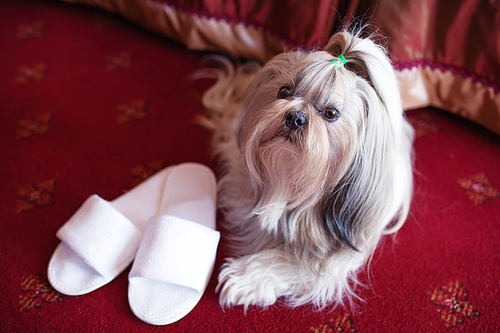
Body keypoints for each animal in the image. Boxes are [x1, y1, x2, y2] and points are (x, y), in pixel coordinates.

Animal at [199, 29, 414, 308]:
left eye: (331, 113)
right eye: (284, 91)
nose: (295, 117)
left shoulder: (338, 250)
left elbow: (297, 262)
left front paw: (245, 278)